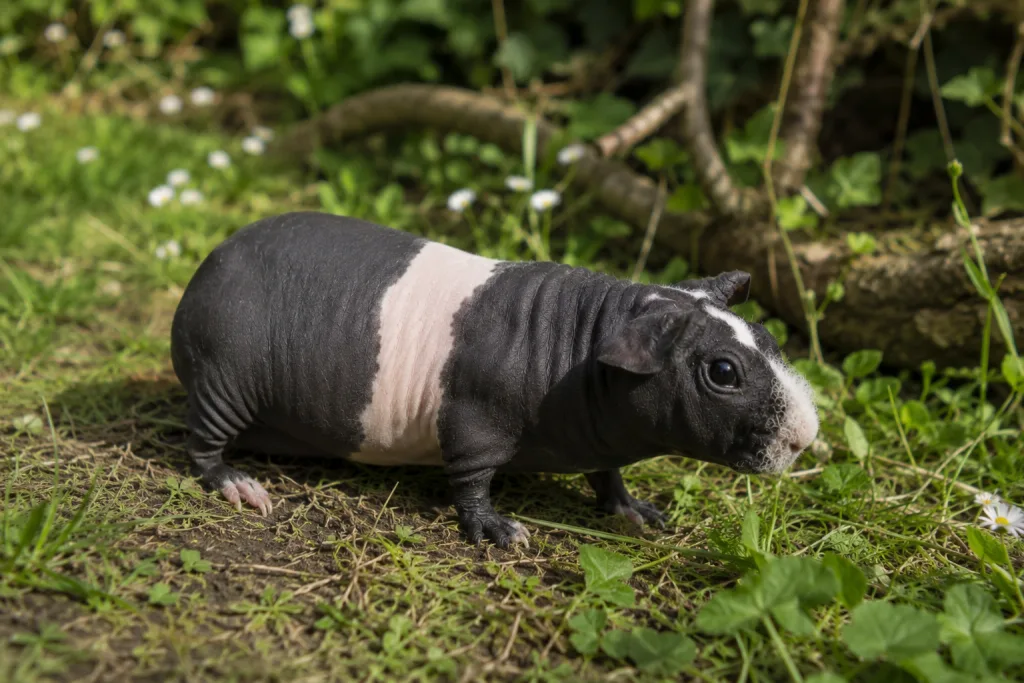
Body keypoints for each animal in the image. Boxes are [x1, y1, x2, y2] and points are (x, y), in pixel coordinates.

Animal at [170, 211, 819, 548]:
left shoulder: (601, 439)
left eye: (768, 340)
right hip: (225, 379)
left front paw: (637, 511)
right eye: (723, 372)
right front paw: (502, 532)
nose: (807, 437)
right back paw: (242, 486)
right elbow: (471, 479)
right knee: (201, 445)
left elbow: (607, 475)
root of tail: (206, 268)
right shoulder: (473, 421)